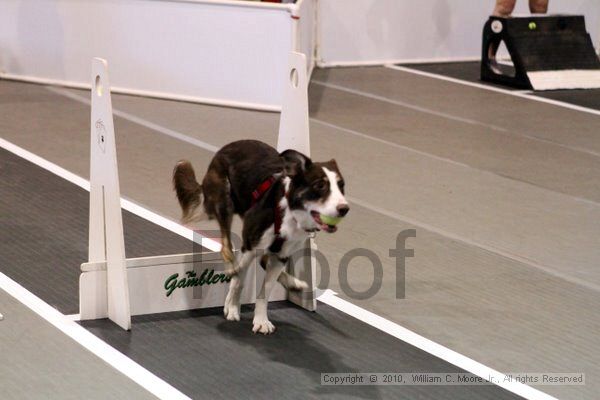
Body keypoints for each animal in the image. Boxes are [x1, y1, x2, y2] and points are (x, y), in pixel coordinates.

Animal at [172, 139, 346, 332]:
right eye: (320, 185)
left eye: (341, 186)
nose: (344, 208)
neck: (290, 211)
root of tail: (227, 146)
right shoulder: (250, 244)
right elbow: (239, 279)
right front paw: (232, 307)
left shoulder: (282, 255)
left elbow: (265, 290)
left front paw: (261, 320)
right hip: (225, 202)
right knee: (227, 251)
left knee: (259, 260)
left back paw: (293, 282)